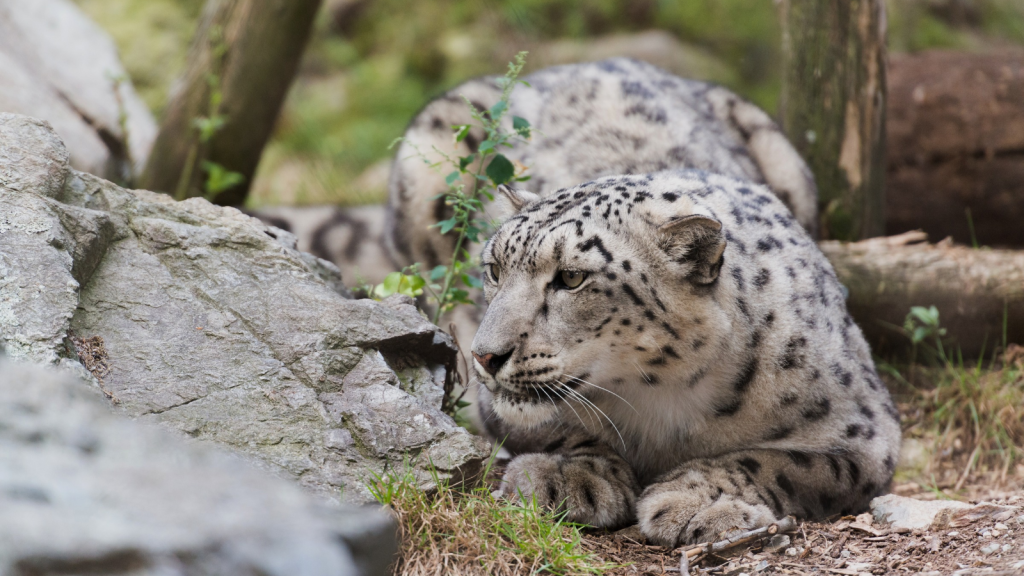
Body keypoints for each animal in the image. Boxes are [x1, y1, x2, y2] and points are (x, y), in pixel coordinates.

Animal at [471, 172, 897, 545]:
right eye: (495, 269)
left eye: (572, 277)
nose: (484, 355)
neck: (658, 396)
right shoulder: (491, 407)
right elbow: (557, 430)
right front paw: (570, 476)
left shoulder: (864, 435)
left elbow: (775, 461)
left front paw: (694, 501)